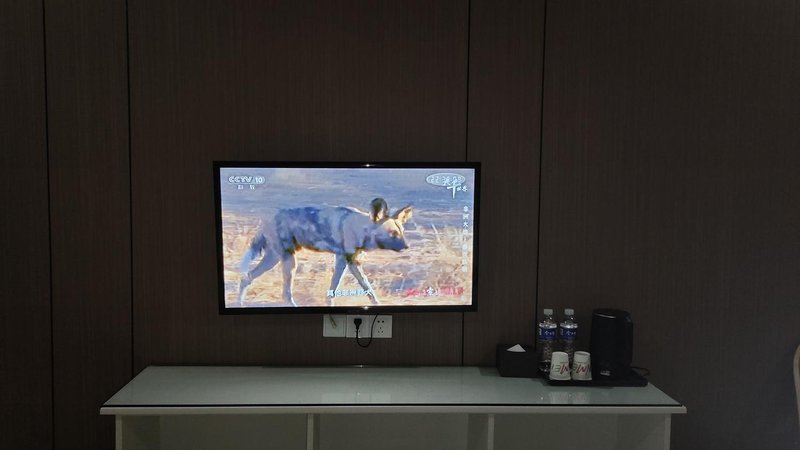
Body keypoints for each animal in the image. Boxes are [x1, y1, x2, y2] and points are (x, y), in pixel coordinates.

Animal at [238, 198, 412, 306]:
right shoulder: (346, 261)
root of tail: (267, 219)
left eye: (401, 232)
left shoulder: (351, 262)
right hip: (289, 261)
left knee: (247, 278)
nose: (406, 246)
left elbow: (368, 290)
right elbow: (334, 290)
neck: (360, 228)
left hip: (273, 258)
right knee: (285, 294)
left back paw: (238, 304)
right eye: (392, 234)